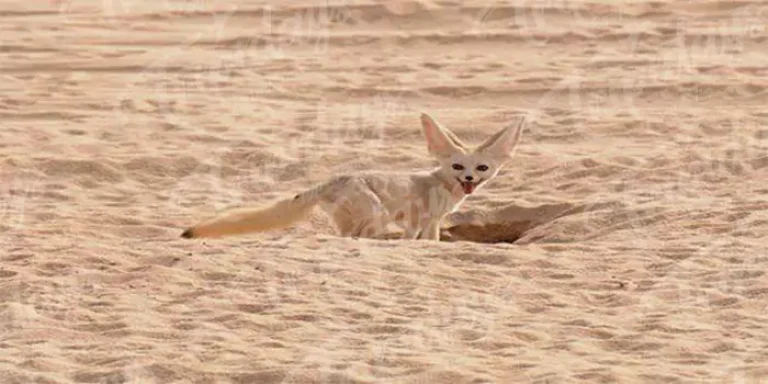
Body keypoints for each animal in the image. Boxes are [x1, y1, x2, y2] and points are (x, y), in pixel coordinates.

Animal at [183, 112, 524, 242]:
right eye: (457, 167)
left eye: (481, 168)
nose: (468, 179)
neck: (439, 184)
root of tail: (332, 180)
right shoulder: (420, 218)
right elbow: (419, 239)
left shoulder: (427, 221)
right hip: (376, 213)